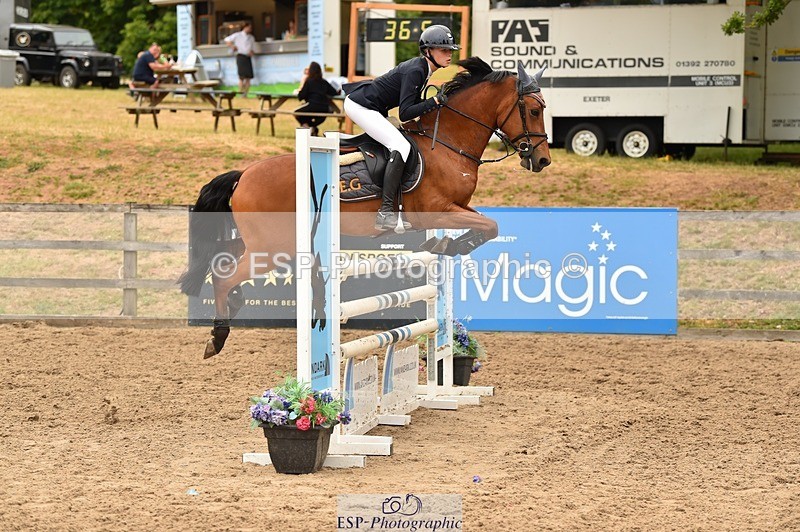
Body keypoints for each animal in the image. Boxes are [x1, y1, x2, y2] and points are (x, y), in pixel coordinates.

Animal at [178, 57, 551, 358]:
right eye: (534, 111)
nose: (542, 160)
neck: (448, 143)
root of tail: (244, 175)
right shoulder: (434, 210)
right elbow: (489, 227)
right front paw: (447, 244)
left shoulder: (457, 207)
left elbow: (489, 226)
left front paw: (446, 244)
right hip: (273, 248)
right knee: (224, 276)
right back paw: (217, 337)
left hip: (265, 242)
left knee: (220, 257)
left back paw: (232, 305)